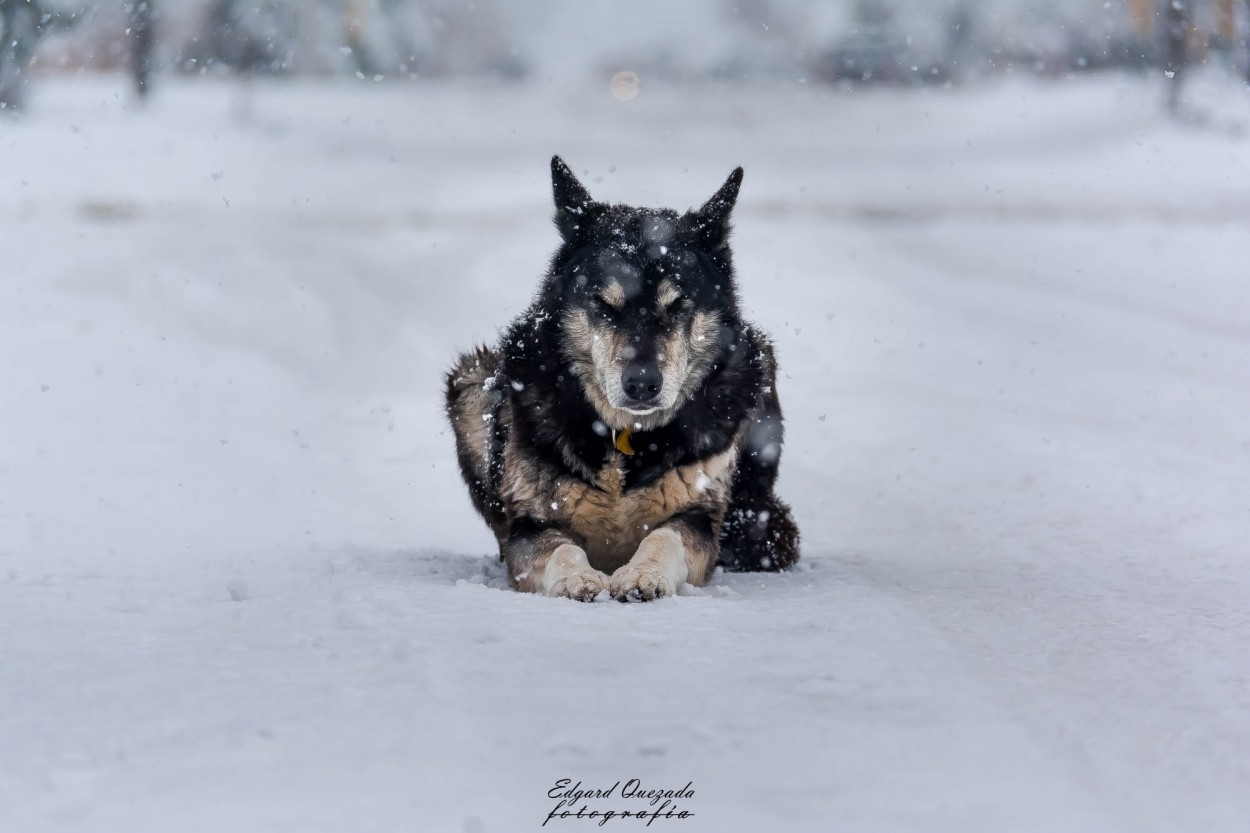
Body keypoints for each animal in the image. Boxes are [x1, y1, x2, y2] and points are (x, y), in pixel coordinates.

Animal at [447, 155, 800, 597]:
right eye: (604, 304)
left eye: (677, 305)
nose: (642, 383)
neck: (624, 436)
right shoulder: (530, 525)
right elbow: (560, 548)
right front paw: (578, 578)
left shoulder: (699, 518)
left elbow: (664, 538)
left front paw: (642, 574)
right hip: (470, 383)